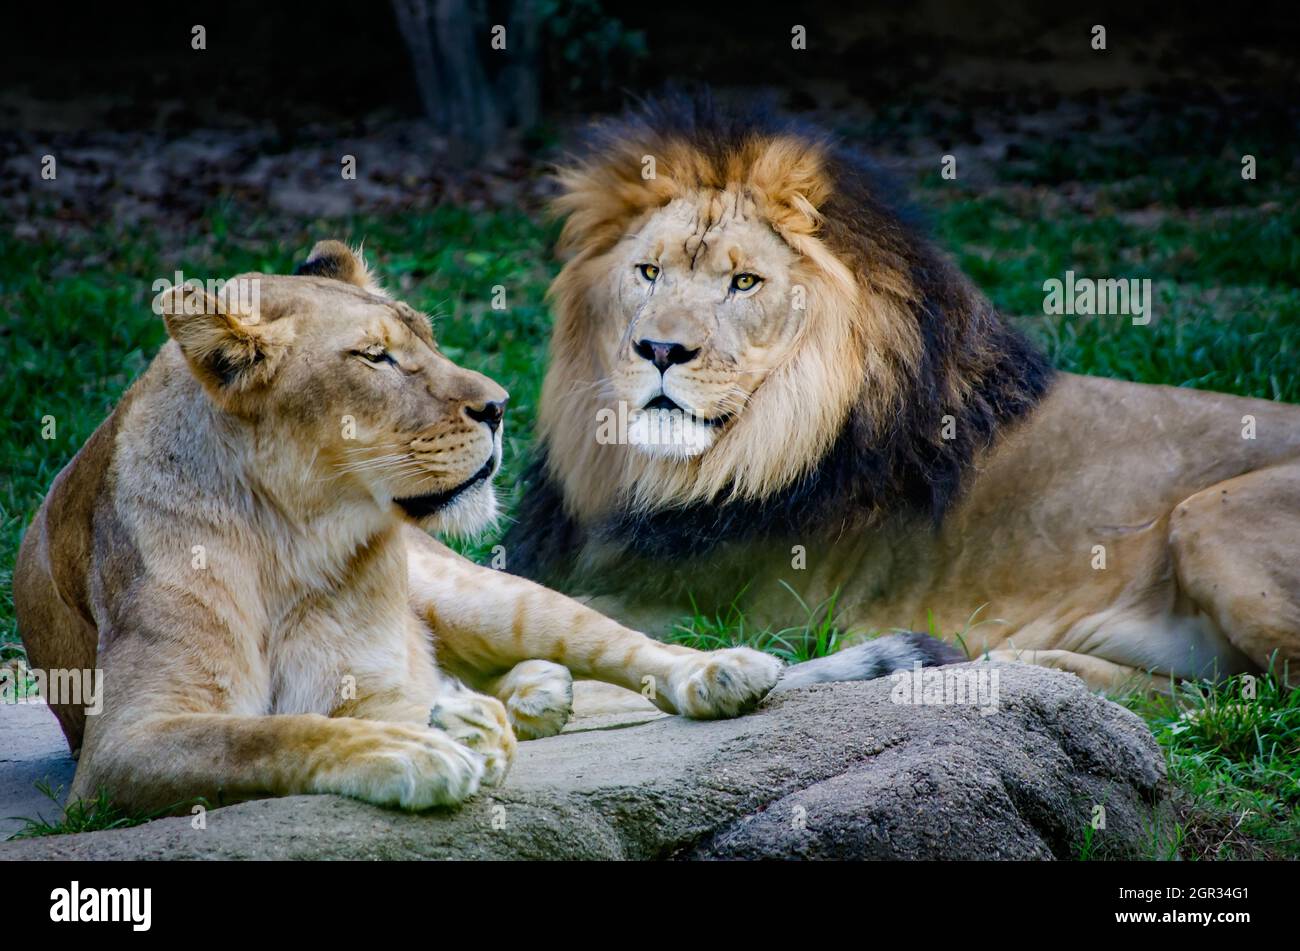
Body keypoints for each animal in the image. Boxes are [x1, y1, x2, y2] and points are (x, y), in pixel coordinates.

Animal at [15, 241, 780, 815]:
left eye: (429, 340)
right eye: (375, 357)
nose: (500, 406)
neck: (293, 535)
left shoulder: (384, 682)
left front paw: (469, 728)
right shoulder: (119, 746)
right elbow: (265, 735)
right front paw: (410, 750)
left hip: (483, 597)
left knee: (617, 642)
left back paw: (720, 671)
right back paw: (534, 693)